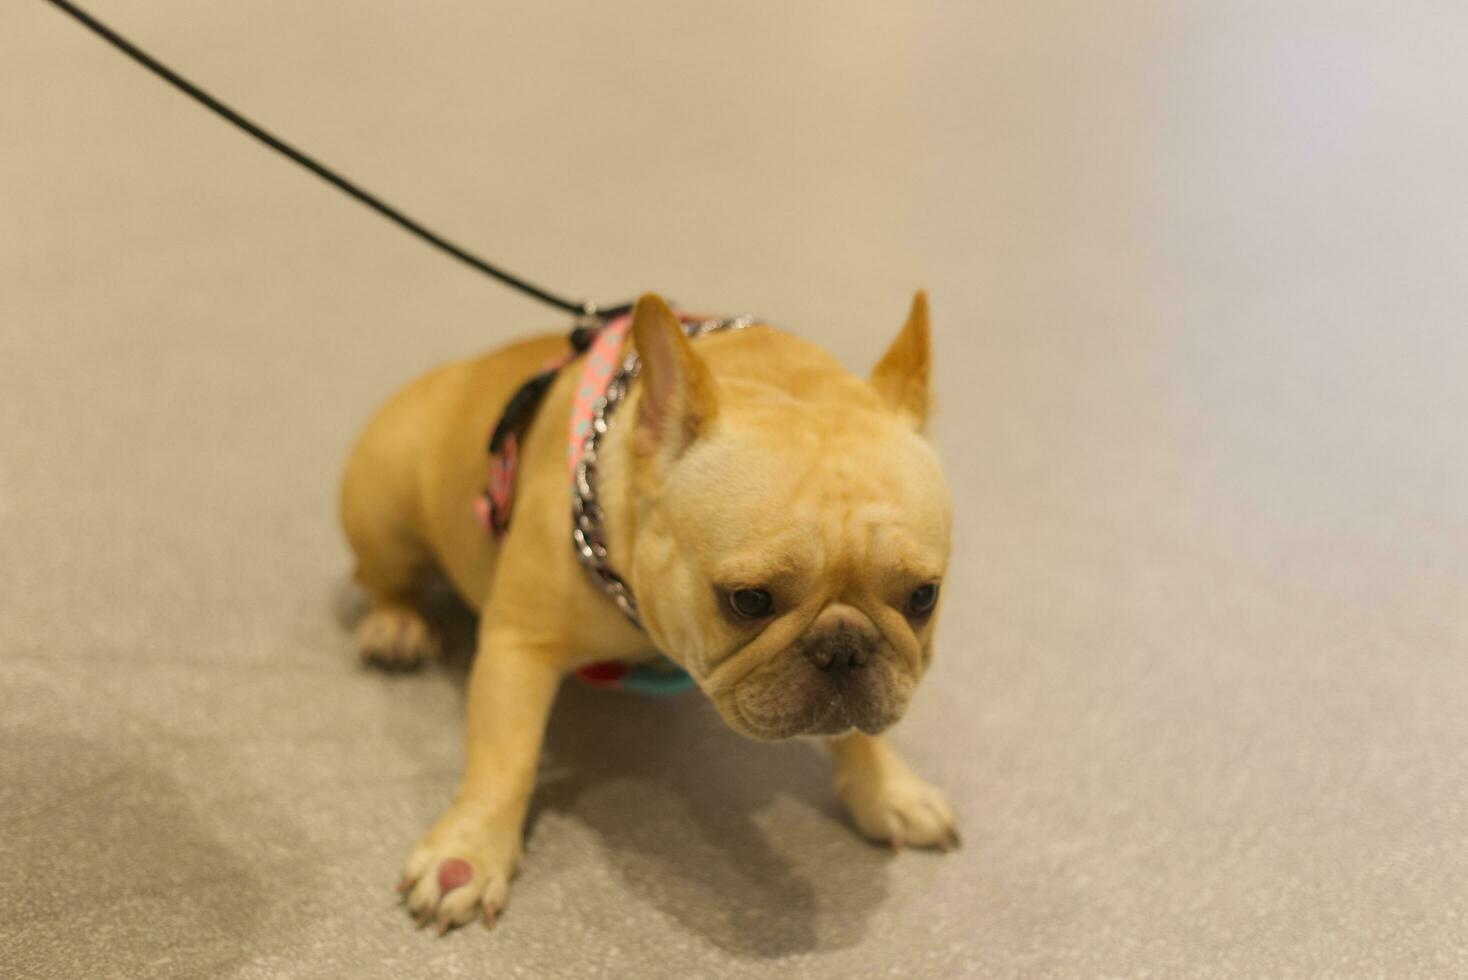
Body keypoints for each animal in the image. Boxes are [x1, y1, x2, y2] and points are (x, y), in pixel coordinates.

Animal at [337, 290, 957, 933]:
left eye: (923, 596)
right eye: (748, 600)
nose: (843, 649)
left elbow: (860, 731)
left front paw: (889, 790)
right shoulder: (520, 642)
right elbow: (504, 757)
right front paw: (468, 854)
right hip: (383, 509)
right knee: (380, 577)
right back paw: (396, 625)